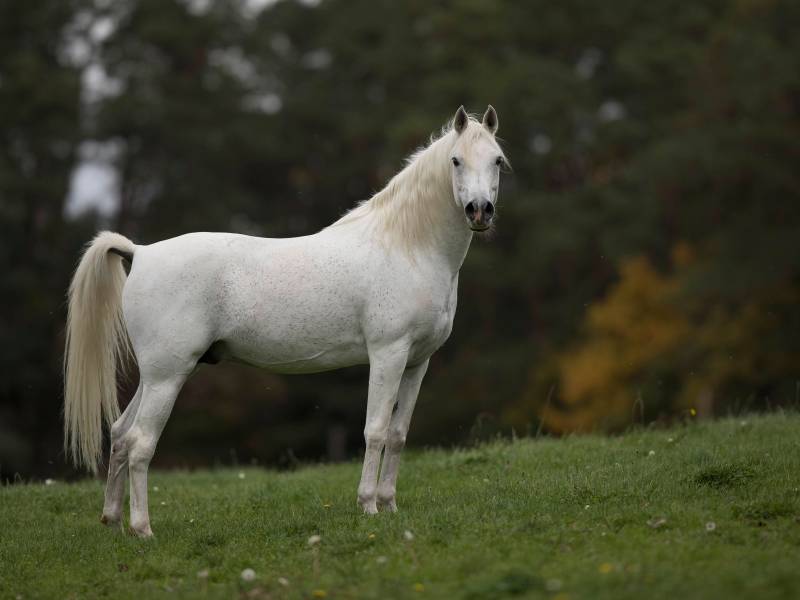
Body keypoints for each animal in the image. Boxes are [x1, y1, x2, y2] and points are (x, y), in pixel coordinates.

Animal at [63, 105, 508, 537]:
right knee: (140, 443)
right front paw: (368, 507)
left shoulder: (418, 362)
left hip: (156, 376)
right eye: (455, 160)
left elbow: (398, 436)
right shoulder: (388, 354)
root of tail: (140, 252)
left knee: (121, 435)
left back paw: (113, 520)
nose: (479, 211)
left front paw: (389, 505)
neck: (406, 247)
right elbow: (376, 430)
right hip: (167, 376)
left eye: (498, 160)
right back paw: (142, 529)